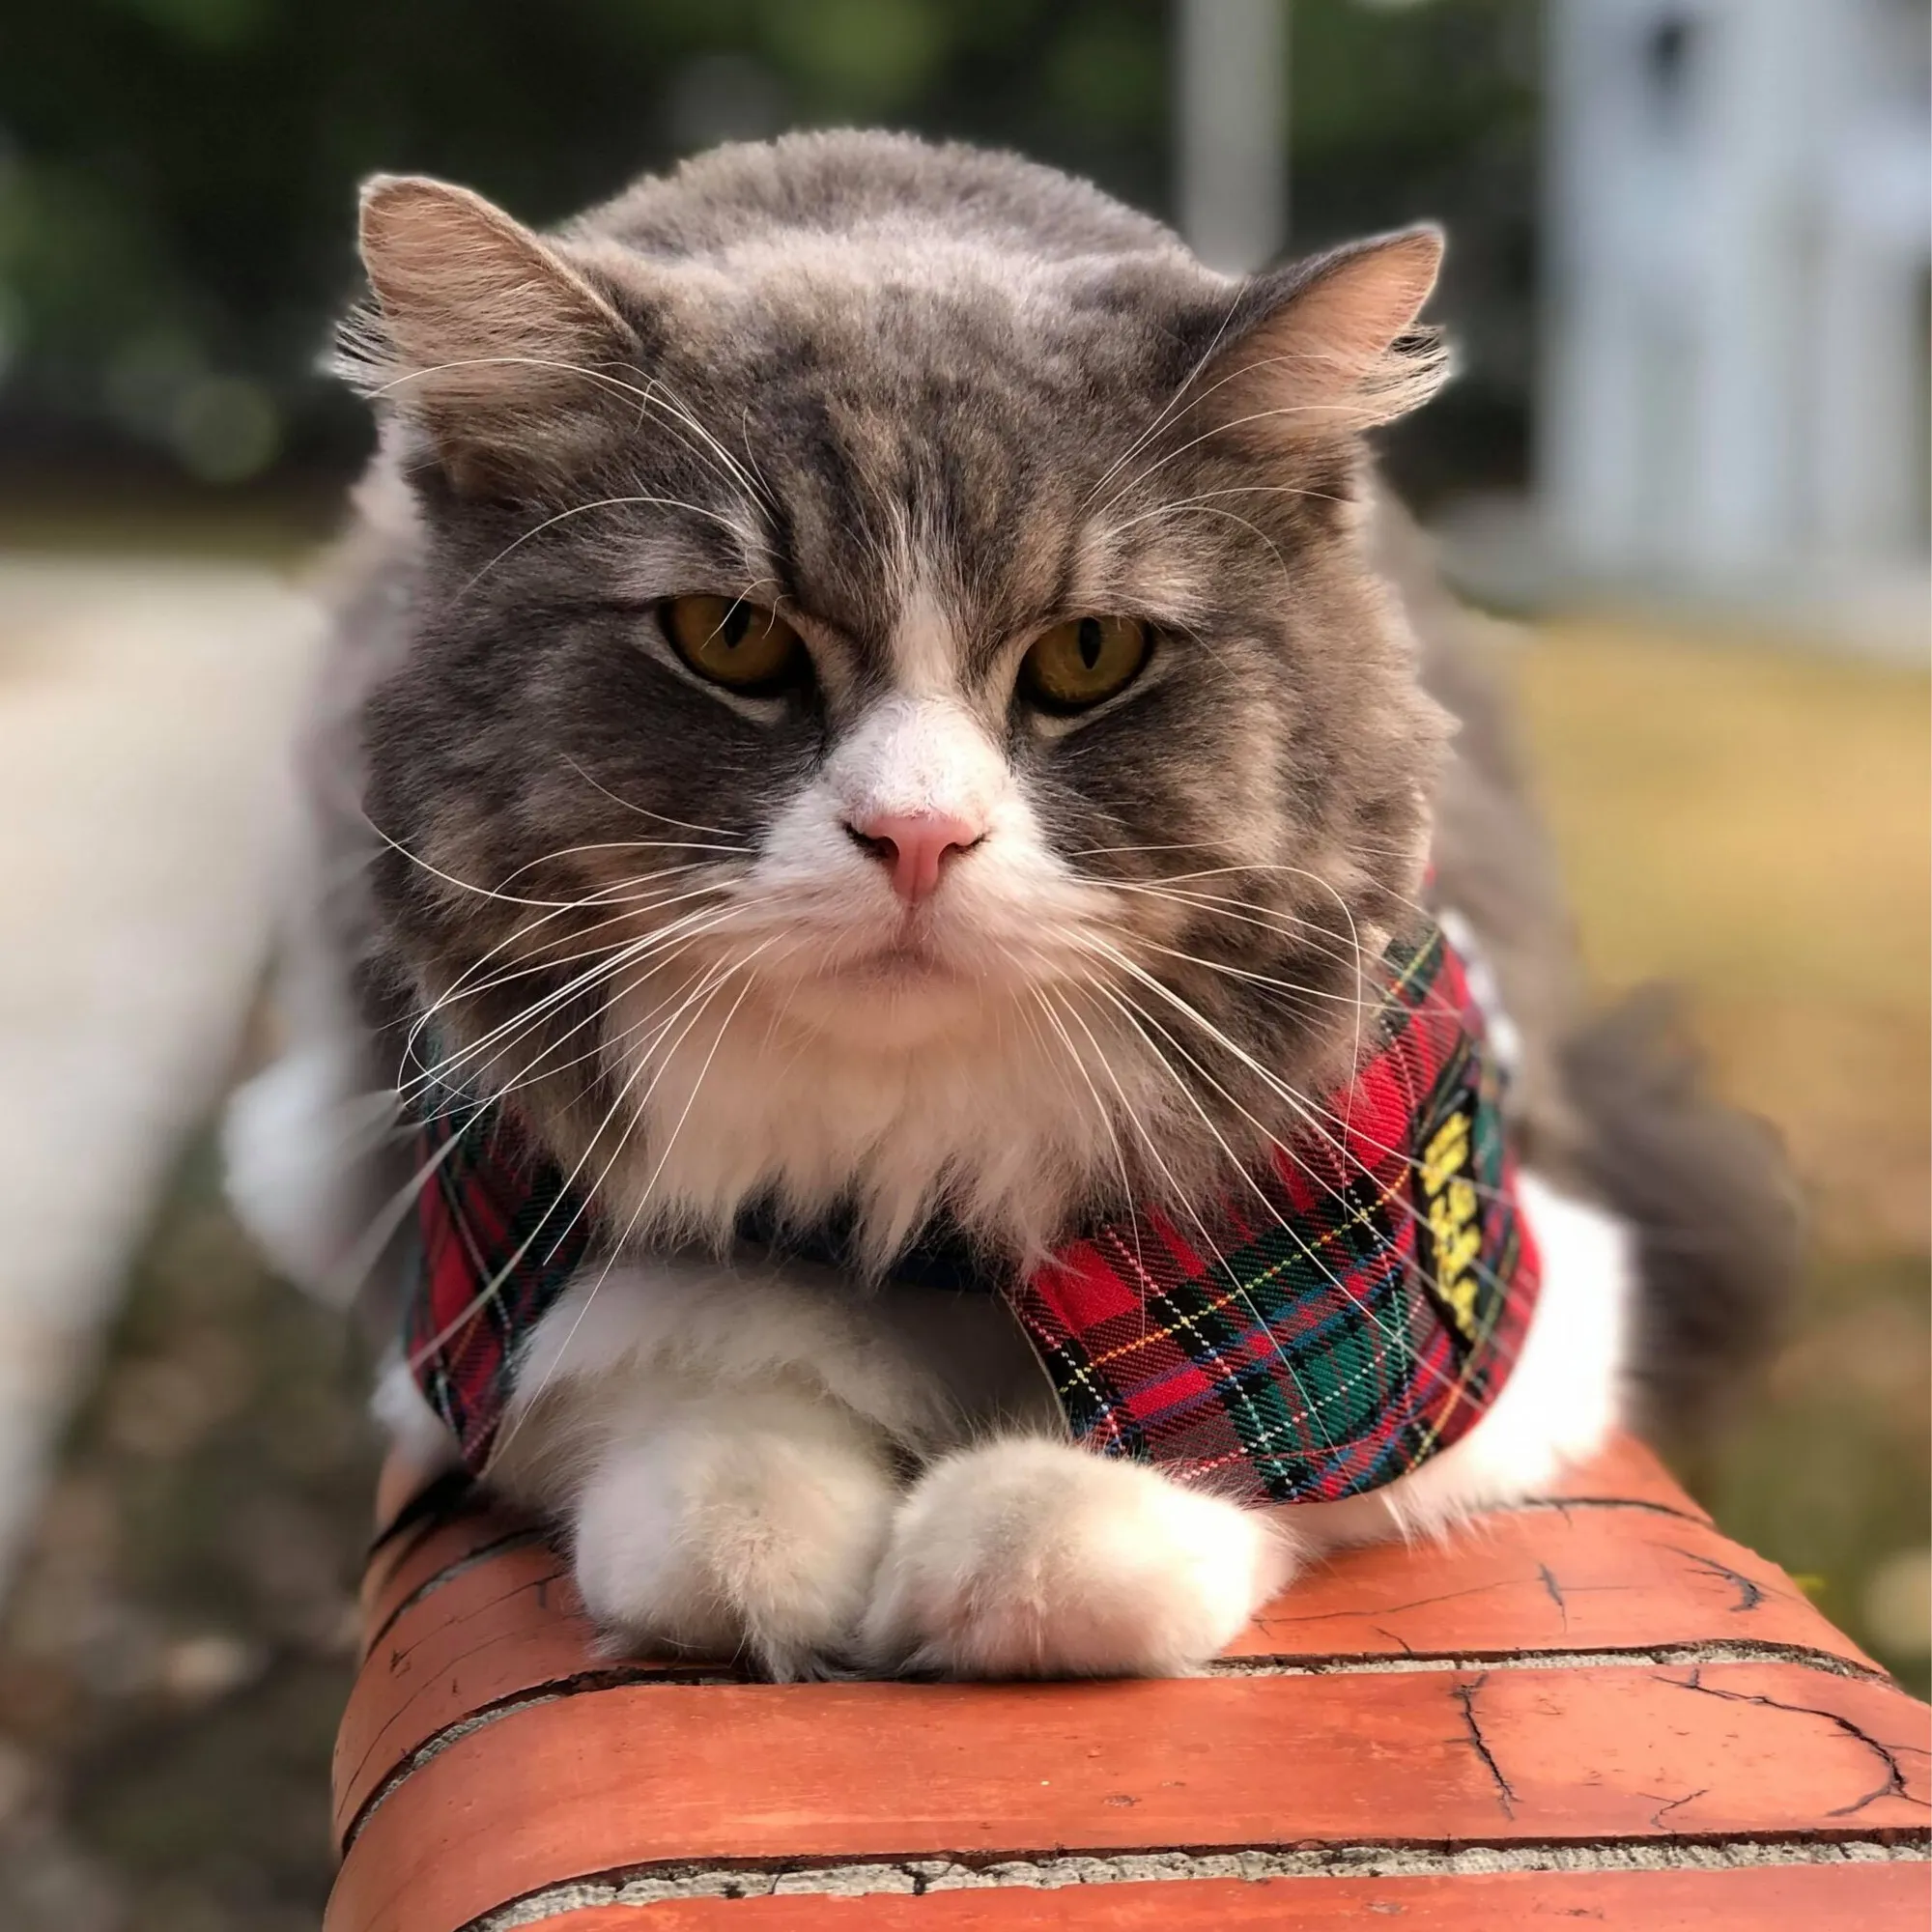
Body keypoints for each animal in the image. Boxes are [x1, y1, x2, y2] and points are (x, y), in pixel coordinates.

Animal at [226, 132, 1793, 1677]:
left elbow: (1250, 1465)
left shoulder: (1495, 1264)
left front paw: (1018, 1539)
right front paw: (784, 1541)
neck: (912, 1208)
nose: (917, 834)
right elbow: (683, 1424)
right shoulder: (458, 1253)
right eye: (729, 636)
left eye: (1088, 654)